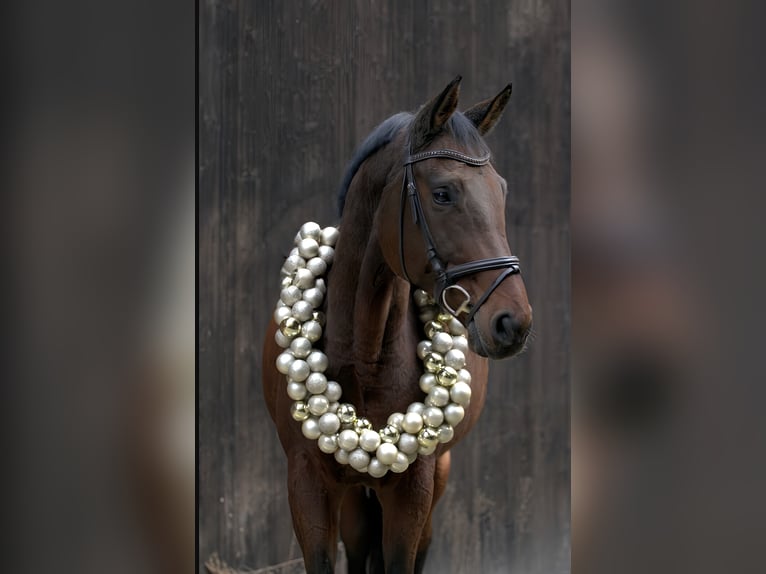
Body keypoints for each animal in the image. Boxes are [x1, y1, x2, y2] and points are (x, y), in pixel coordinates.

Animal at [262, 76, 532, 574]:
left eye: (501, 190)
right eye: (443, 193)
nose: (513, 322)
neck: (364, 351)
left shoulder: (413, 489)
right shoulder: (306, 482)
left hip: (437, 474)